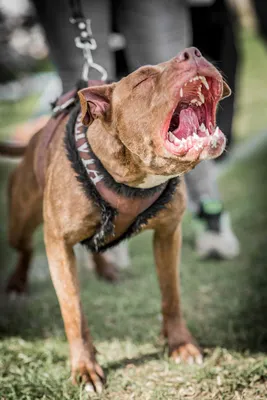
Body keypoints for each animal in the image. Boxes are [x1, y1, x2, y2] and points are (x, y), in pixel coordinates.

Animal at [1, 47, 230, 390]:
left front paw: (180, 344)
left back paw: (106, 269)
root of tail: (32, 139)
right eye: (144, 79)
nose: (193, 52)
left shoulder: (168, 234)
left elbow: (171, 295)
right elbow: (73, 313)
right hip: (20, 222)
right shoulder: (57, 244)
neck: (133, 177)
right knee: (25, 248)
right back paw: (17, 283)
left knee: (93, 245)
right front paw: (85, 367)